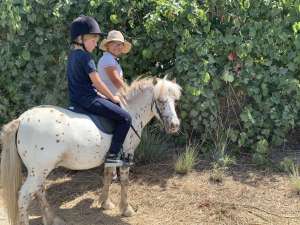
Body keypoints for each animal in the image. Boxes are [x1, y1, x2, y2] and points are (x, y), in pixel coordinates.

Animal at [0, 77, 182, 225]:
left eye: (175, 101)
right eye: (161, 100)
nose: (175, 125)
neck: (131, 111)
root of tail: (21, 119)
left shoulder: (112, 157)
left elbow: (108, 176)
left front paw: (105, 203)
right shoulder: (126, 156)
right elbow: (124, 182)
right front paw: (126, 209)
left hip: (39, 171)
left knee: (39, 191)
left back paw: (52, 219)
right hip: (38, 171)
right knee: (24, 197)